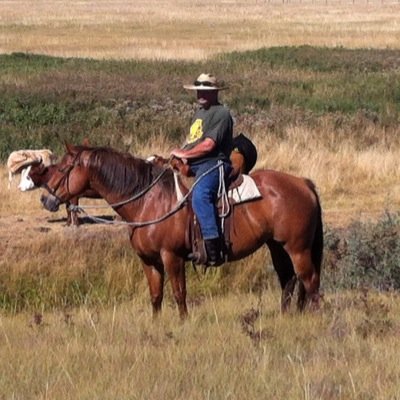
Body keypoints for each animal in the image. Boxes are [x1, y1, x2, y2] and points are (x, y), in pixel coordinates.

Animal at [40, 144, 324, 318]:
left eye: (63, 168)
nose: (46, 199)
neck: (148, 201)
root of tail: (303, 183)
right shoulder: (148, 259)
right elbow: (156, 295)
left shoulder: (172, 256)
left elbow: (179, 293)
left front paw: (183, 323)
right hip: (277, 246)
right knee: (288, 279)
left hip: (298, 248)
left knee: (309, 280)